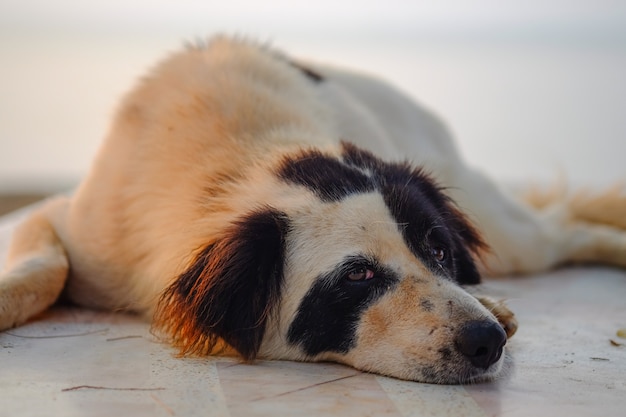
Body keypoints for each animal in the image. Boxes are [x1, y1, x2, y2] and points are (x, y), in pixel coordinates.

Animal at [1, 36, 624, 384]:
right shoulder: (72, 225)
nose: (486, 340)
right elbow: (46, 268)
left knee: (566, 228)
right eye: (357, 275)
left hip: (513, 235)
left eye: (438, 248)